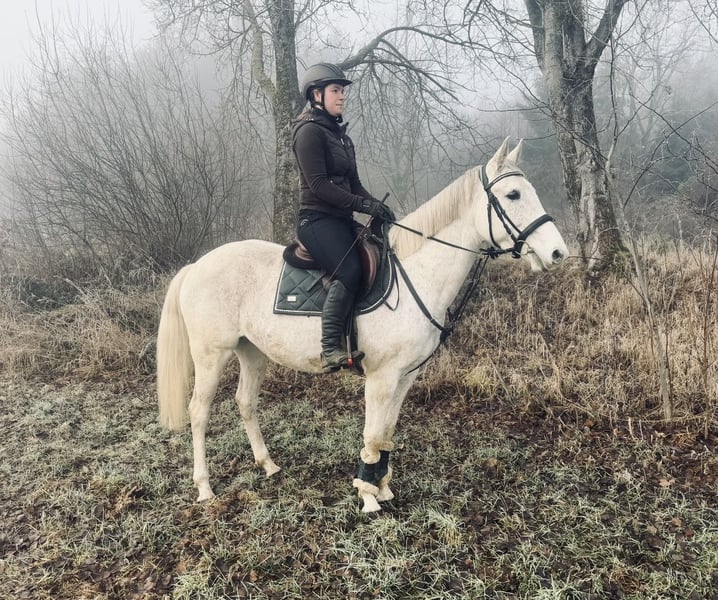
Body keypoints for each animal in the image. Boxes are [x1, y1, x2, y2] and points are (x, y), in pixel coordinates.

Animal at [157, 138, 568, 513]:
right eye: (513, 194)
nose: (557, 253)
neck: (414, 273)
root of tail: (197, 266)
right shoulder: (381, 377)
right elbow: (372, 433)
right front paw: (368, 497)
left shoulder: (406, 376)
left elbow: (386, 433)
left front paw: (381, 487)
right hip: (211, 355)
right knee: (199, 412)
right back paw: (204, 487)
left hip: (252, 351)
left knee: (245, 402)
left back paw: (268, 464)